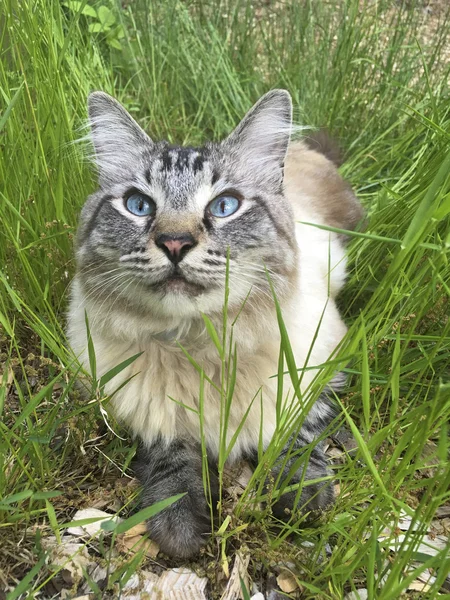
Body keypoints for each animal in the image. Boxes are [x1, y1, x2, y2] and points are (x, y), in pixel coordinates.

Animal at [67, 89, 362, 556]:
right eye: (139, 205)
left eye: (225, 207)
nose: (174, 243)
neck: (199, 341)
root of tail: (302, 148)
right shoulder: (143, 413)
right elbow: (172, 458)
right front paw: (180, 529)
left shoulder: (321, 369)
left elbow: (297, 431)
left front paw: (303, 499)